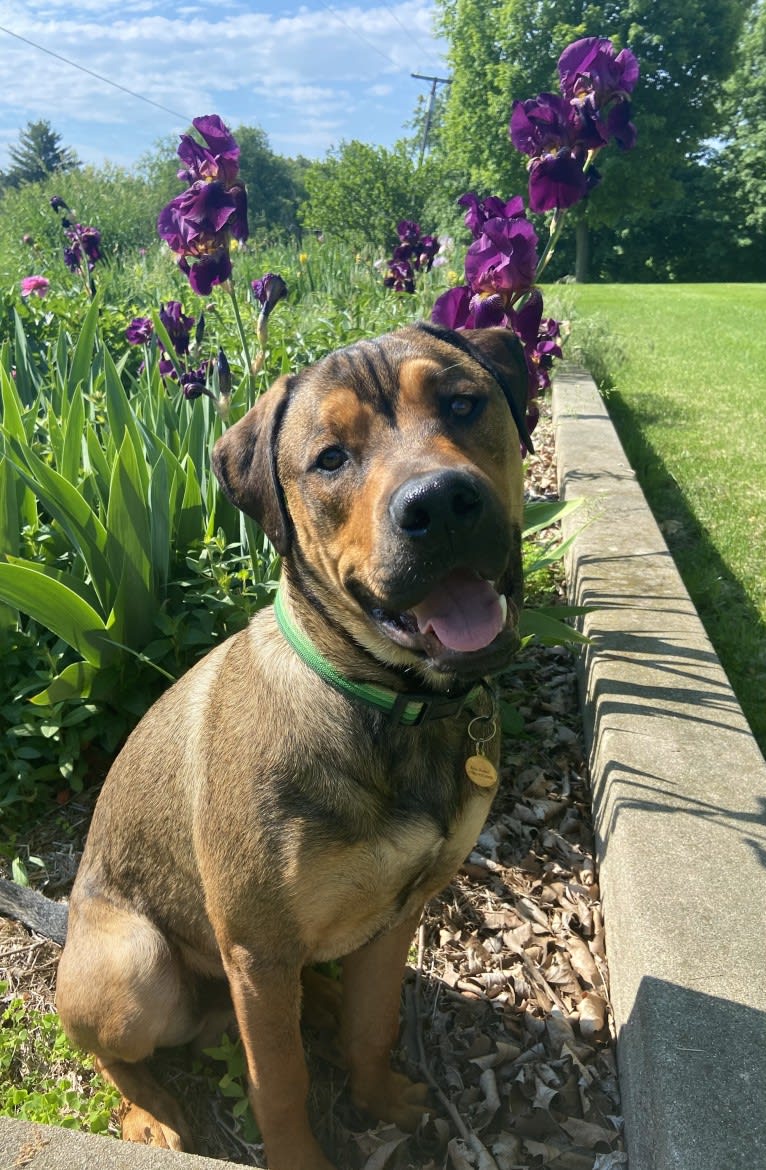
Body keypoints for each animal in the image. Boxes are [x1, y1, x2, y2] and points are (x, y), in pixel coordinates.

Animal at [2, 322, 530, 1170]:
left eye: (462, 402)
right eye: (330, 458)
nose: (441, 505)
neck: (387, 706)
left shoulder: (400, 911)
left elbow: (374, 1025)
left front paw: (380, 1098)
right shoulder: (257, 947)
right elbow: (278, 1080)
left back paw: (321, 1001)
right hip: (138, 966)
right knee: (110, 1051)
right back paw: (148, 1113)